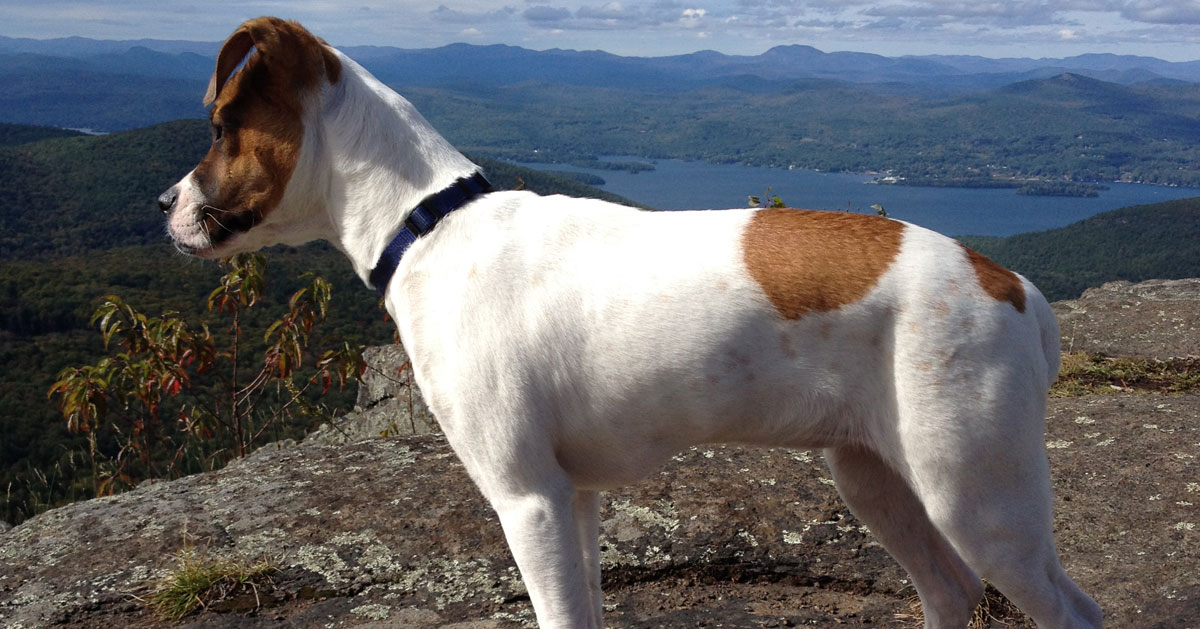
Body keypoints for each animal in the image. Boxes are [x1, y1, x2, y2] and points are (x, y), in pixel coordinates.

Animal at [162, 17, 1104, 624]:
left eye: (219, 126)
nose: (162, 203)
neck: (429, 223)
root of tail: (1008, 282)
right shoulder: (573, 500)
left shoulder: (528, 500)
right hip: (876, 476)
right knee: (949, 589)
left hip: (978, 498)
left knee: (1066, 607)